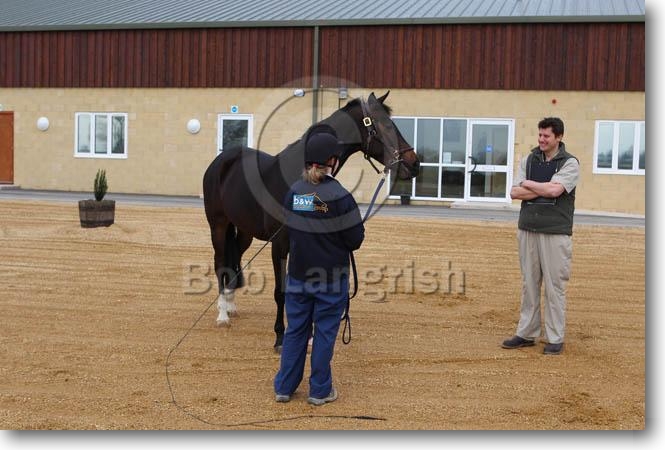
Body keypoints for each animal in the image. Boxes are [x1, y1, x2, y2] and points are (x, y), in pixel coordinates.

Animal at [202, 91, 420, 352]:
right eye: (386, 125)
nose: (414, 163)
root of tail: (221, 161)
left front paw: (309, 335)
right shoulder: (279, 244)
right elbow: (280, 291)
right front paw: (280, 337)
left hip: (244, 231)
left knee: (235, 258)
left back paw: (231, 305)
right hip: (218, 225)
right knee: (220, 262)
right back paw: (222, 315)